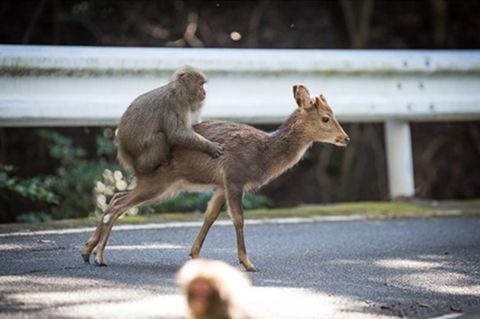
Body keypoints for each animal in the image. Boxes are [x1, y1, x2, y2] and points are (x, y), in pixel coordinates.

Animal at [81, 84, 348, 272]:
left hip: (161, 186)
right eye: (326, 118)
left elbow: (209, 216)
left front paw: (195, 255)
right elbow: (238, 218)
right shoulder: (234, 177)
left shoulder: (220, 186)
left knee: (116, 197)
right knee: (119, 204)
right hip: (159, 182)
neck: (262, 155)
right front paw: (248, 263)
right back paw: (99, 256)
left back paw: (87, 251)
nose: (345, 138)